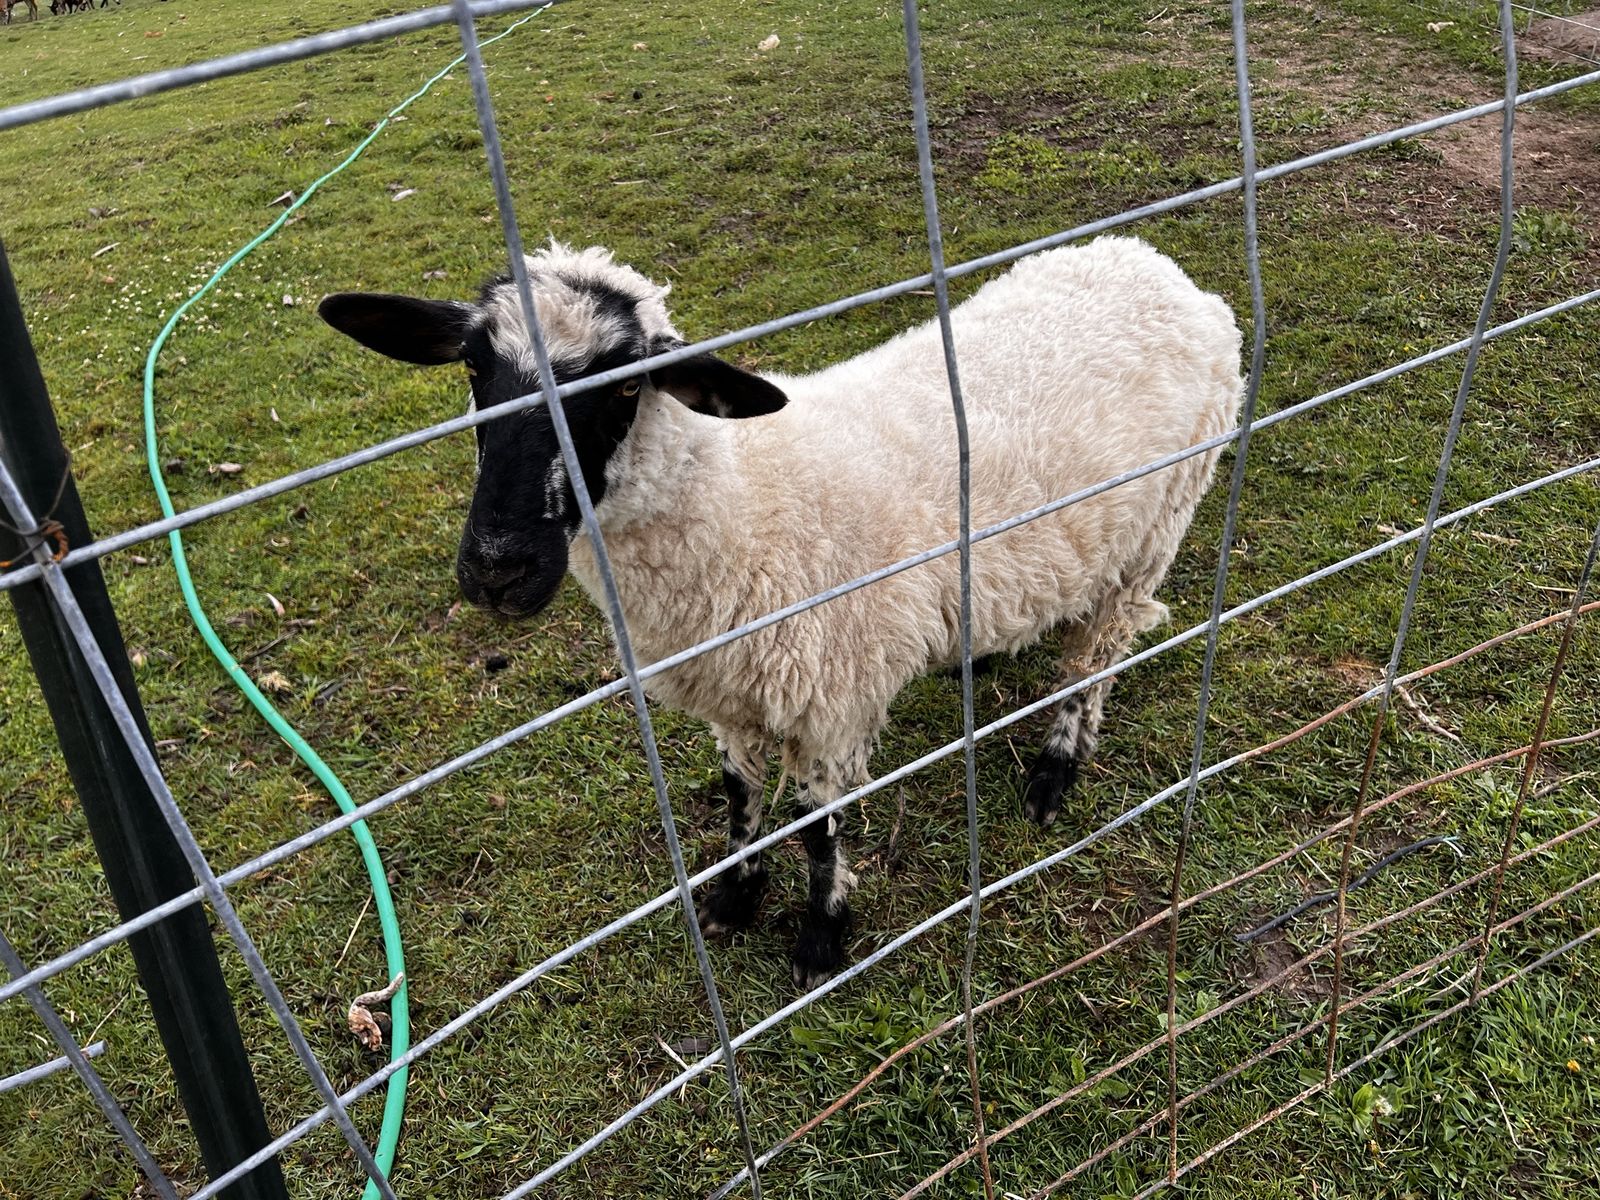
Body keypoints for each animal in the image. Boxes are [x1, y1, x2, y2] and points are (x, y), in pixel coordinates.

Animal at [318, 236, 1243, 986]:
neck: (741, 503)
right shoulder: (731, 688)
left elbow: (817, 826)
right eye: (475, 368)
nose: (497, 569)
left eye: (621, 391)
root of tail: (1154, 264)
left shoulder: (828, 692)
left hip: (1158, 526)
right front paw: (734, 898)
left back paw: (1056, 770)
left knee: (1098, 656)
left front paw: (821, 938)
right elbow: (741, 798)